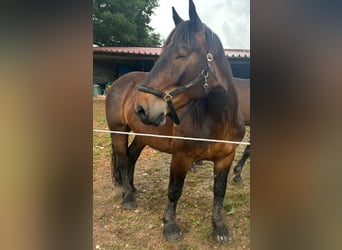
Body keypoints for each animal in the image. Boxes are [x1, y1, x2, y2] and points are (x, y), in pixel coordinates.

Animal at [106, 0, 246, 242]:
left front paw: (219, 227)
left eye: (182, 54)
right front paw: (170, 226)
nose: (141, 108)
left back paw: (131, 189)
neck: (218, 121)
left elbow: (220, 191)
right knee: (123, 161)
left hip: (143, 135)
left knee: (131, 158)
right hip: (118, 131)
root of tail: (118, 83)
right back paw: (128, 198)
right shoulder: (181, 157)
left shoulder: (225, 158)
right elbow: (174, 191)